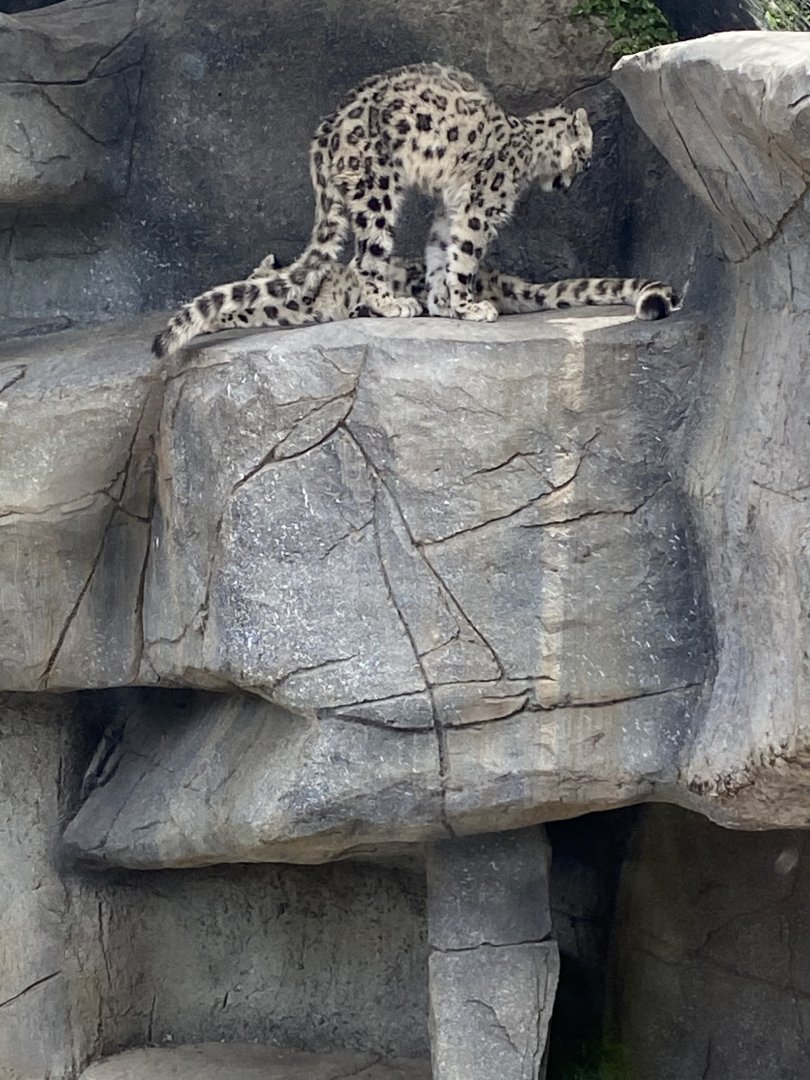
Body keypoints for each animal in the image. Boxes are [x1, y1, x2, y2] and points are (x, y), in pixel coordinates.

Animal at [248, 63, 593, 324]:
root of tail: (327, 128)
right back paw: (391, 304)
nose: (570, 183)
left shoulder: (451, 210)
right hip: (376, 191)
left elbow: (442, 255)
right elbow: (465, 257)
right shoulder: (478, 211)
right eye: (585, 158)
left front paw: (444, 304)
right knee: (365, 258)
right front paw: (469, 307)